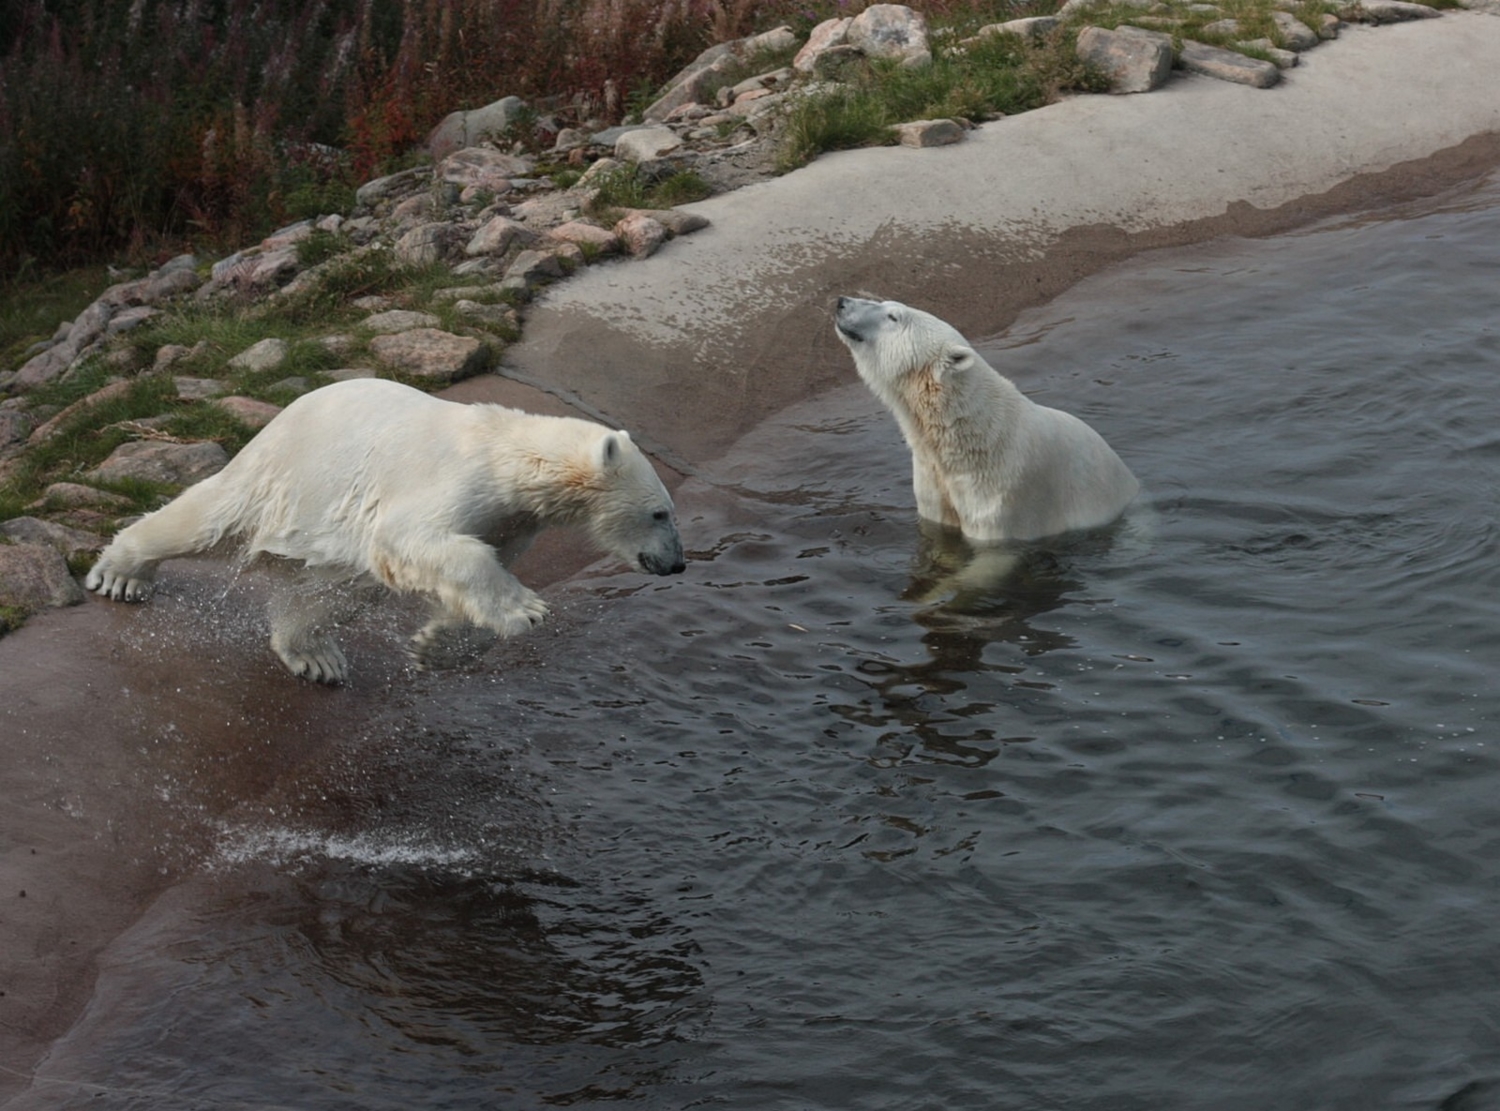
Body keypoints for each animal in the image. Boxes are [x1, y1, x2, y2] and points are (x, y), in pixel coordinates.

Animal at [87, 376, 687, 680]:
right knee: (208, 521)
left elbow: (460, 575)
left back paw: (314, 655)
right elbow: (415, 540)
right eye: (661, 512)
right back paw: (123, 574)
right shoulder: (456, 482)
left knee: (339, 587)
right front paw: (527, 609)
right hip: (289, 475)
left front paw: (434, 647)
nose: (678, 563)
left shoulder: (511, 522)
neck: (508, 454)